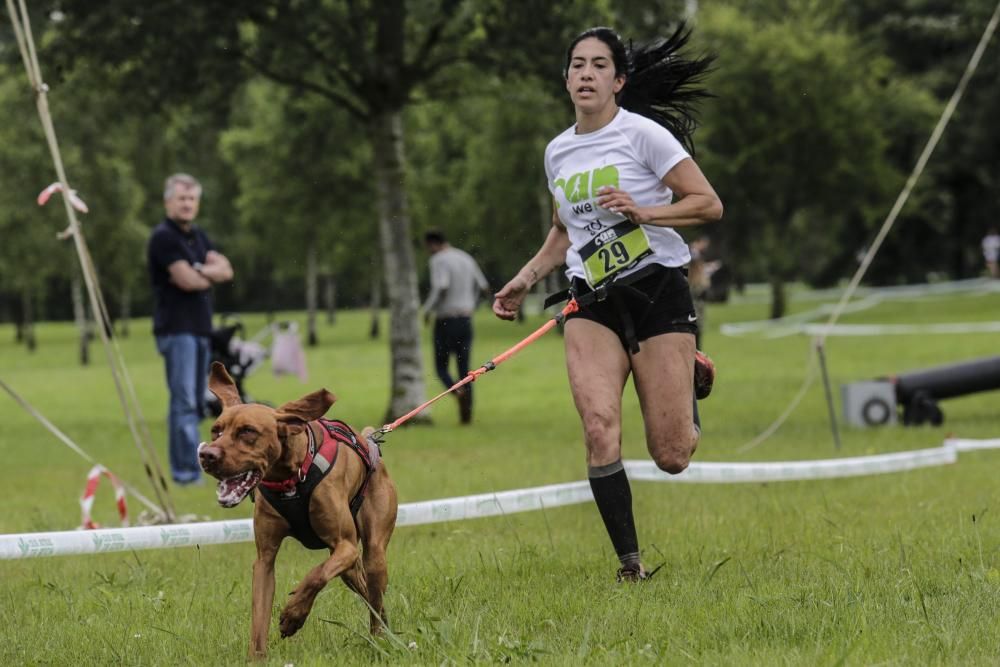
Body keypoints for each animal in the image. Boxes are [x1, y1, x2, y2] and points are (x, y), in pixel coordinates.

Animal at [197, 362, 396, 660]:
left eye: (248, 431)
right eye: (216, 430)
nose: (206, 455)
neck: (290, 480)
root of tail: (370, 443)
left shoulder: (345, 546)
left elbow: (315, 575)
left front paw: (293, 615)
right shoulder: (264, 560)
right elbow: (259, 616)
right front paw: (257, 658)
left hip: (373, 550)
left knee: (374, 592)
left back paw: (380, 637)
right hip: (351, 568)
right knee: (365, 589)